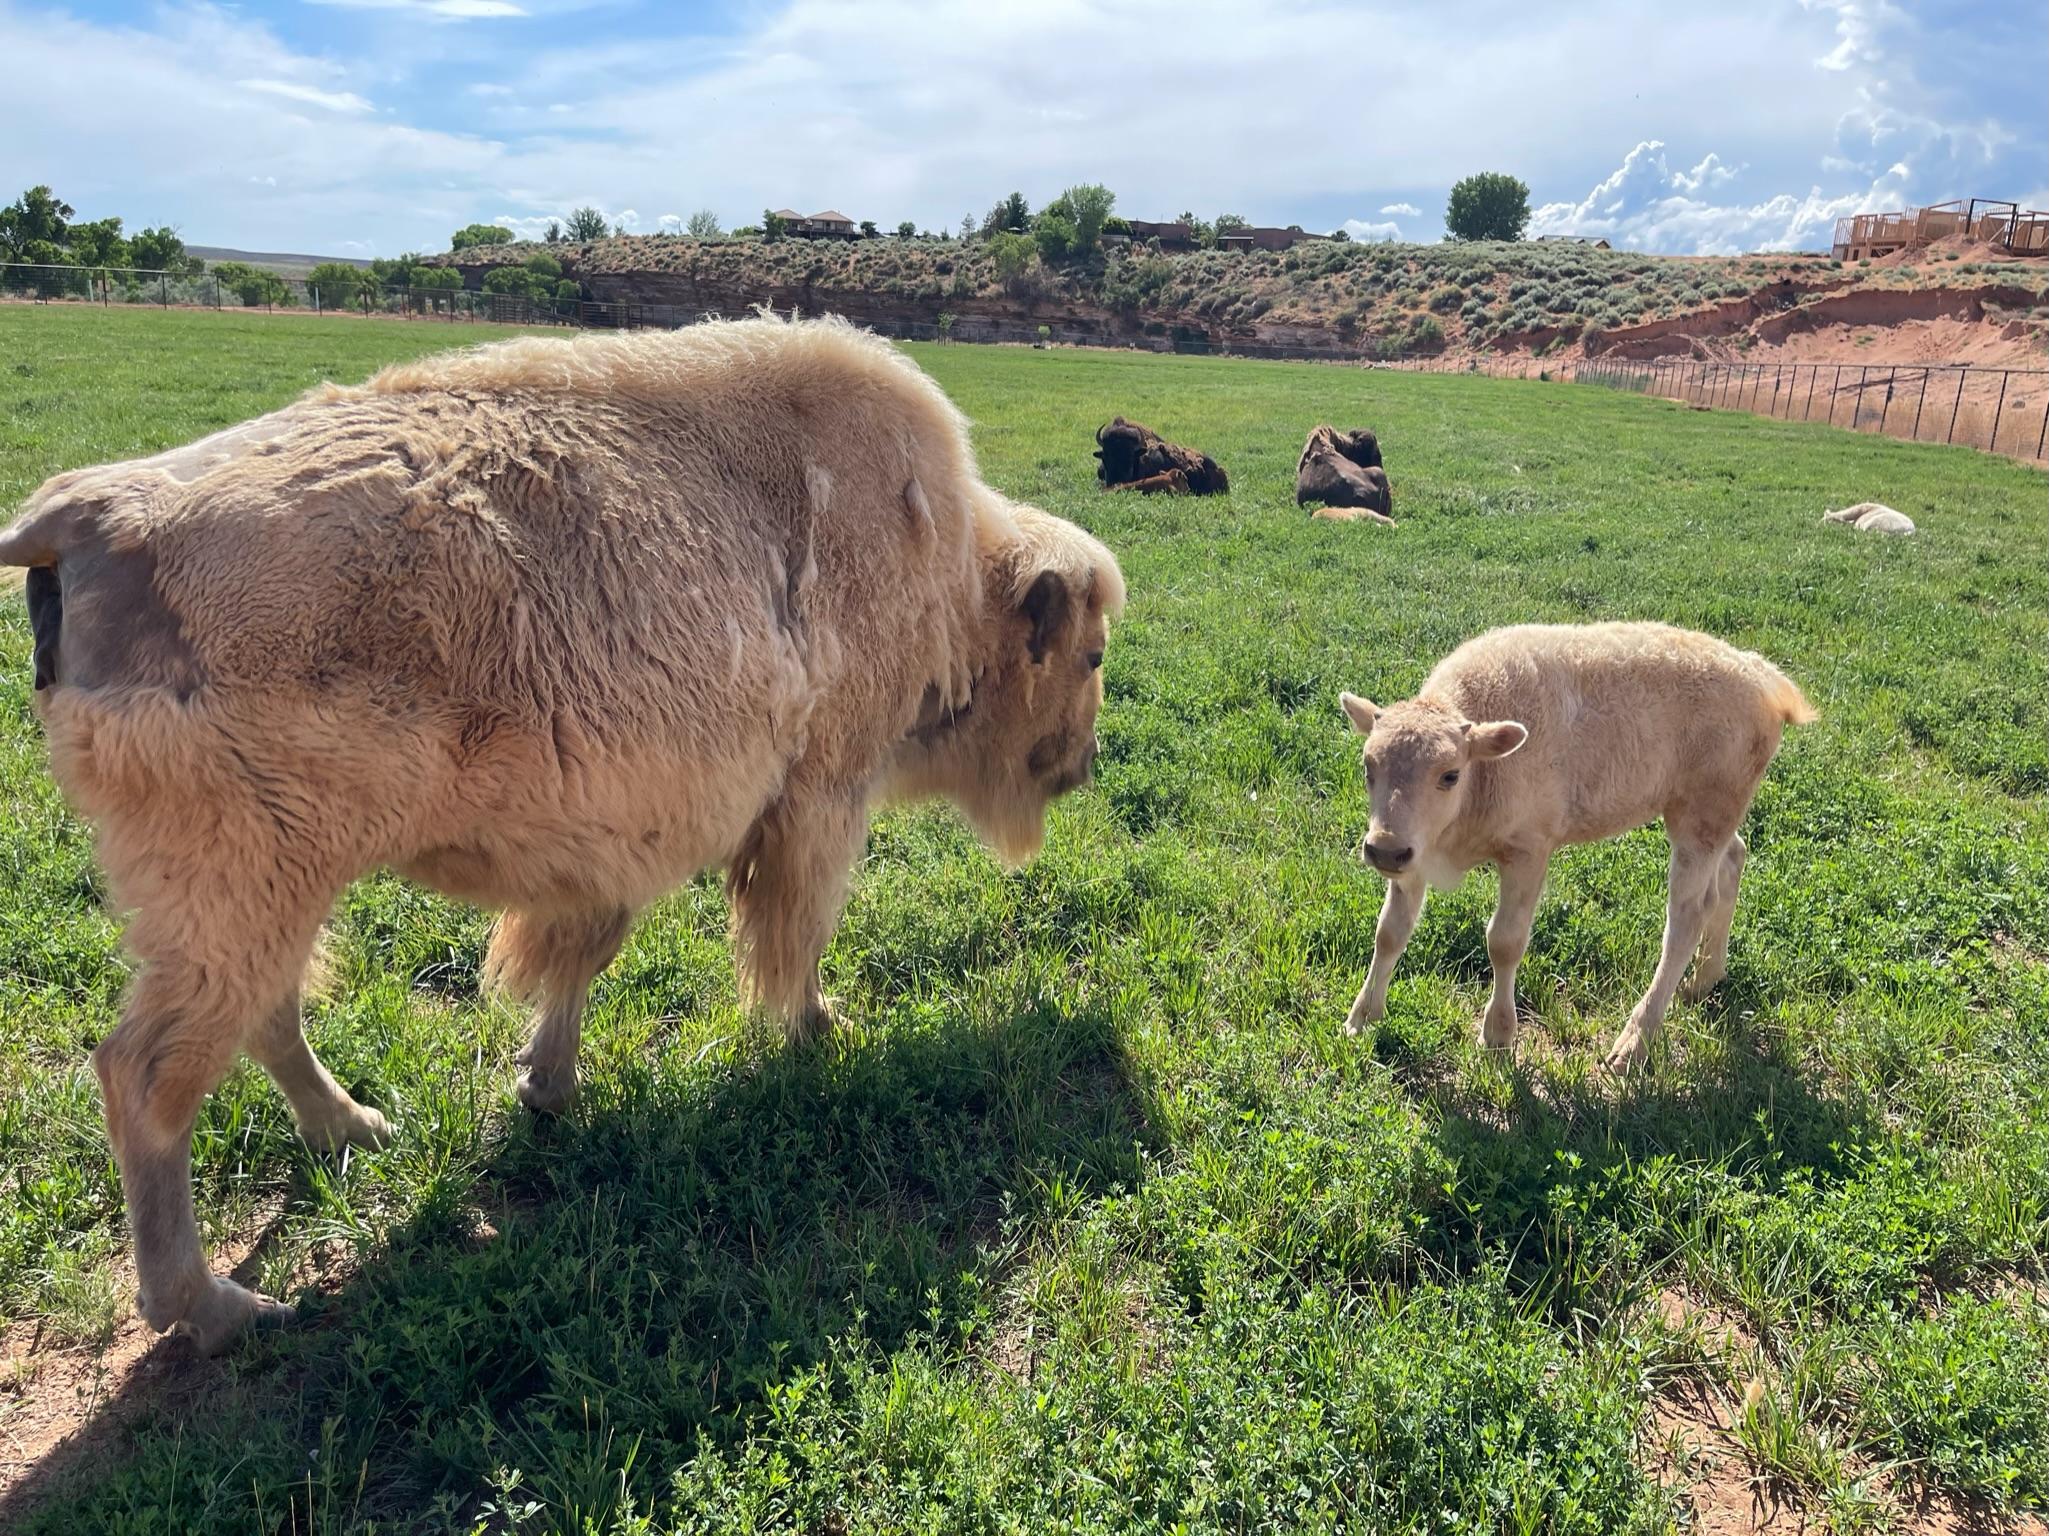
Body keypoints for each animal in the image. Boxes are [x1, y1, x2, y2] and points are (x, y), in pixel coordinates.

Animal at [0, 319, 1131, 1351]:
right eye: (1089, 655)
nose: (1083, 764)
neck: (952, 569)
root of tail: (87, 513)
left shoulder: (615, 850)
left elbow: (581, 958)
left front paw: (548, 1089)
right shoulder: (821, 797)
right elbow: (794, 937)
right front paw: (820, 1030)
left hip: (275, 889)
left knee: (267, 1014)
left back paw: (355, 1129)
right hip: (240, 890)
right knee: (148, 1076)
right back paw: (216, 1309)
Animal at [1344, 618, 1811, 1073]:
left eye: (1450, 775)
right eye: (1368, 766)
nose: (1383, 850)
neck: (1485, 770)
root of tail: (1759, 673)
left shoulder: (1527, 853)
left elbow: (1504, 942)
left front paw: (1497, 1037)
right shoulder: (1414, 855)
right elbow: (1390, 931)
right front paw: (1361, 1018)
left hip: (1700, 824)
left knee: (1687, 917)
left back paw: (1631, 1046)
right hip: (1705, 819)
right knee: (1733, 861)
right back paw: (1703, 981)